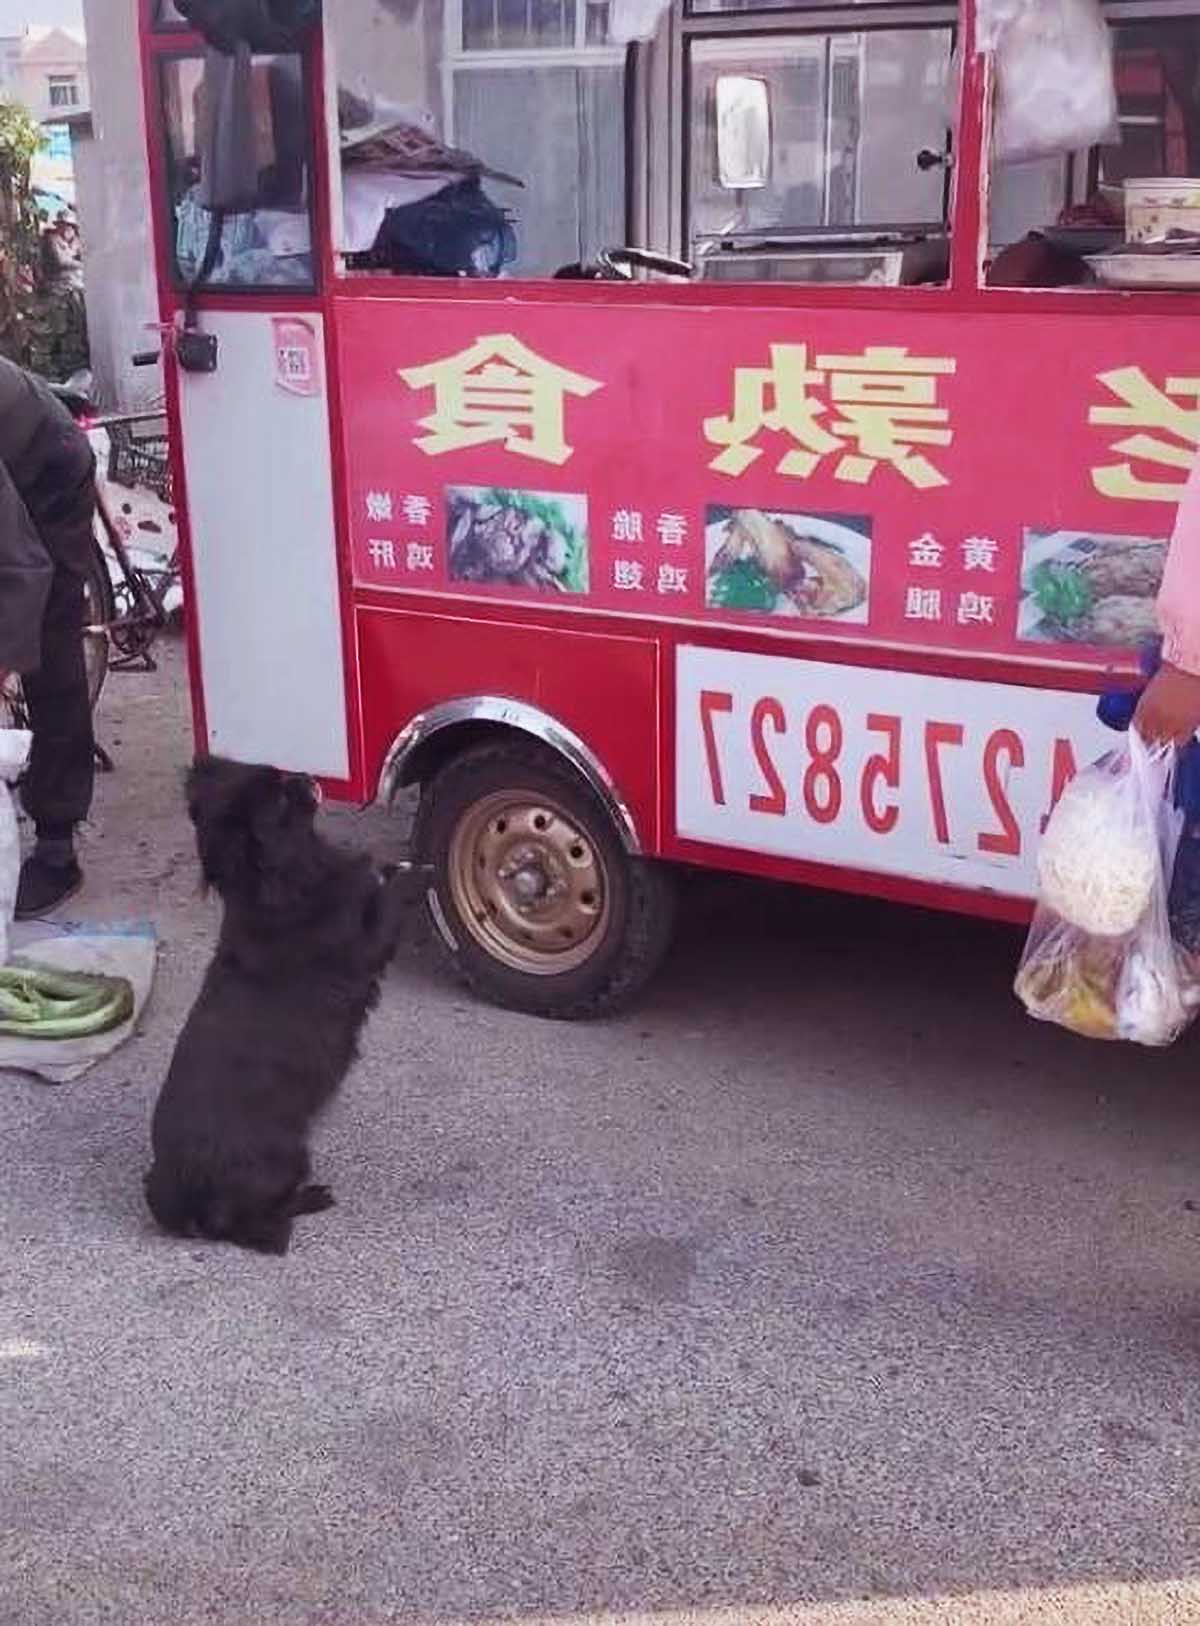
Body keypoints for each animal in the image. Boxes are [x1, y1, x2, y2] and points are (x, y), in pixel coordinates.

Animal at [143, 754, 406, 1248]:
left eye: (278, 776)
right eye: (282, 799)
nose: (303, 777)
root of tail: (190, 1194)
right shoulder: (366, 944)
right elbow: (390, 897)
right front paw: (413, 872)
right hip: (290, 1156)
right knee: (261, 1225)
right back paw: (312, 1198)